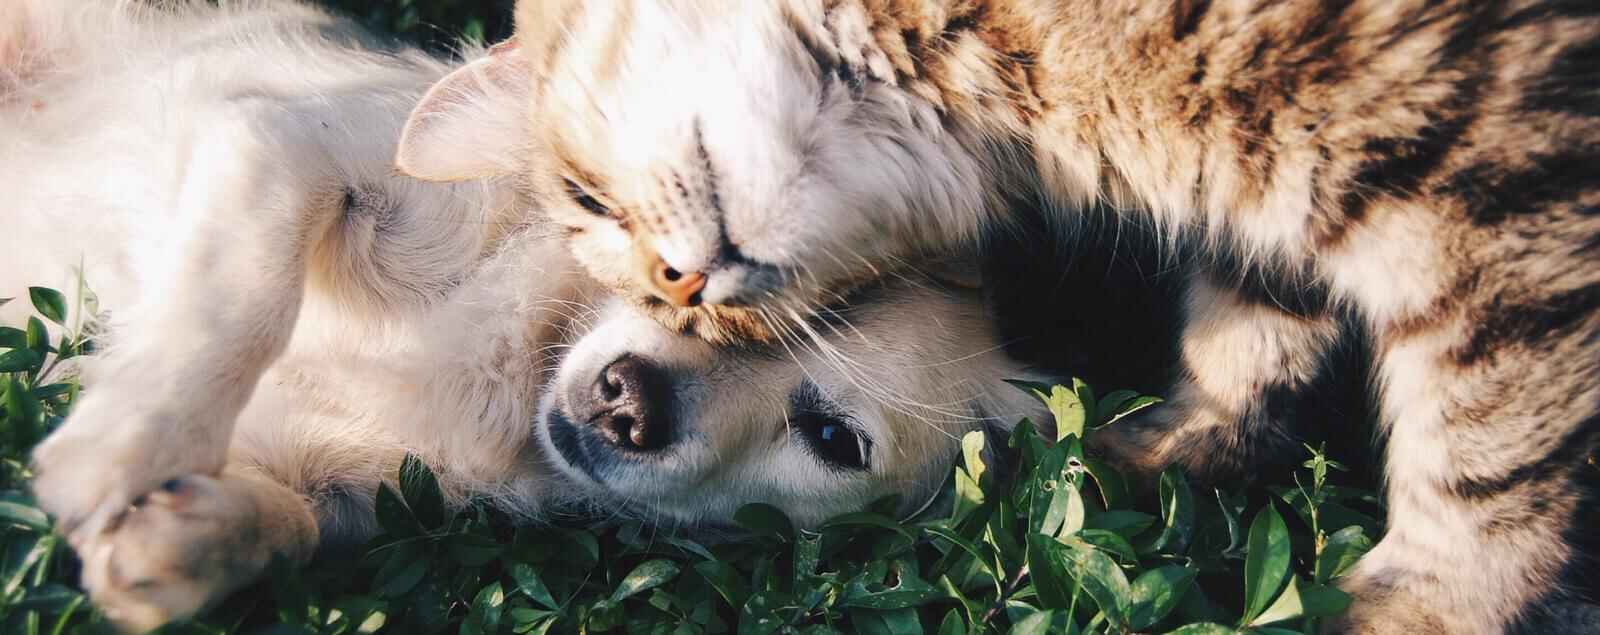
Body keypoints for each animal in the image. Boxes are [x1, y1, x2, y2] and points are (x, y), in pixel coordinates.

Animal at [6, 2, 1056, 630]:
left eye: (834, 438)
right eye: (677, 278)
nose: (629, 400)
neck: (517, 368)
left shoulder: (341, 488)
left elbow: (291, 526)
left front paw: (177, 542)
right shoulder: (285, 142)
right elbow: (239, 300)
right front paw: (124, 445)